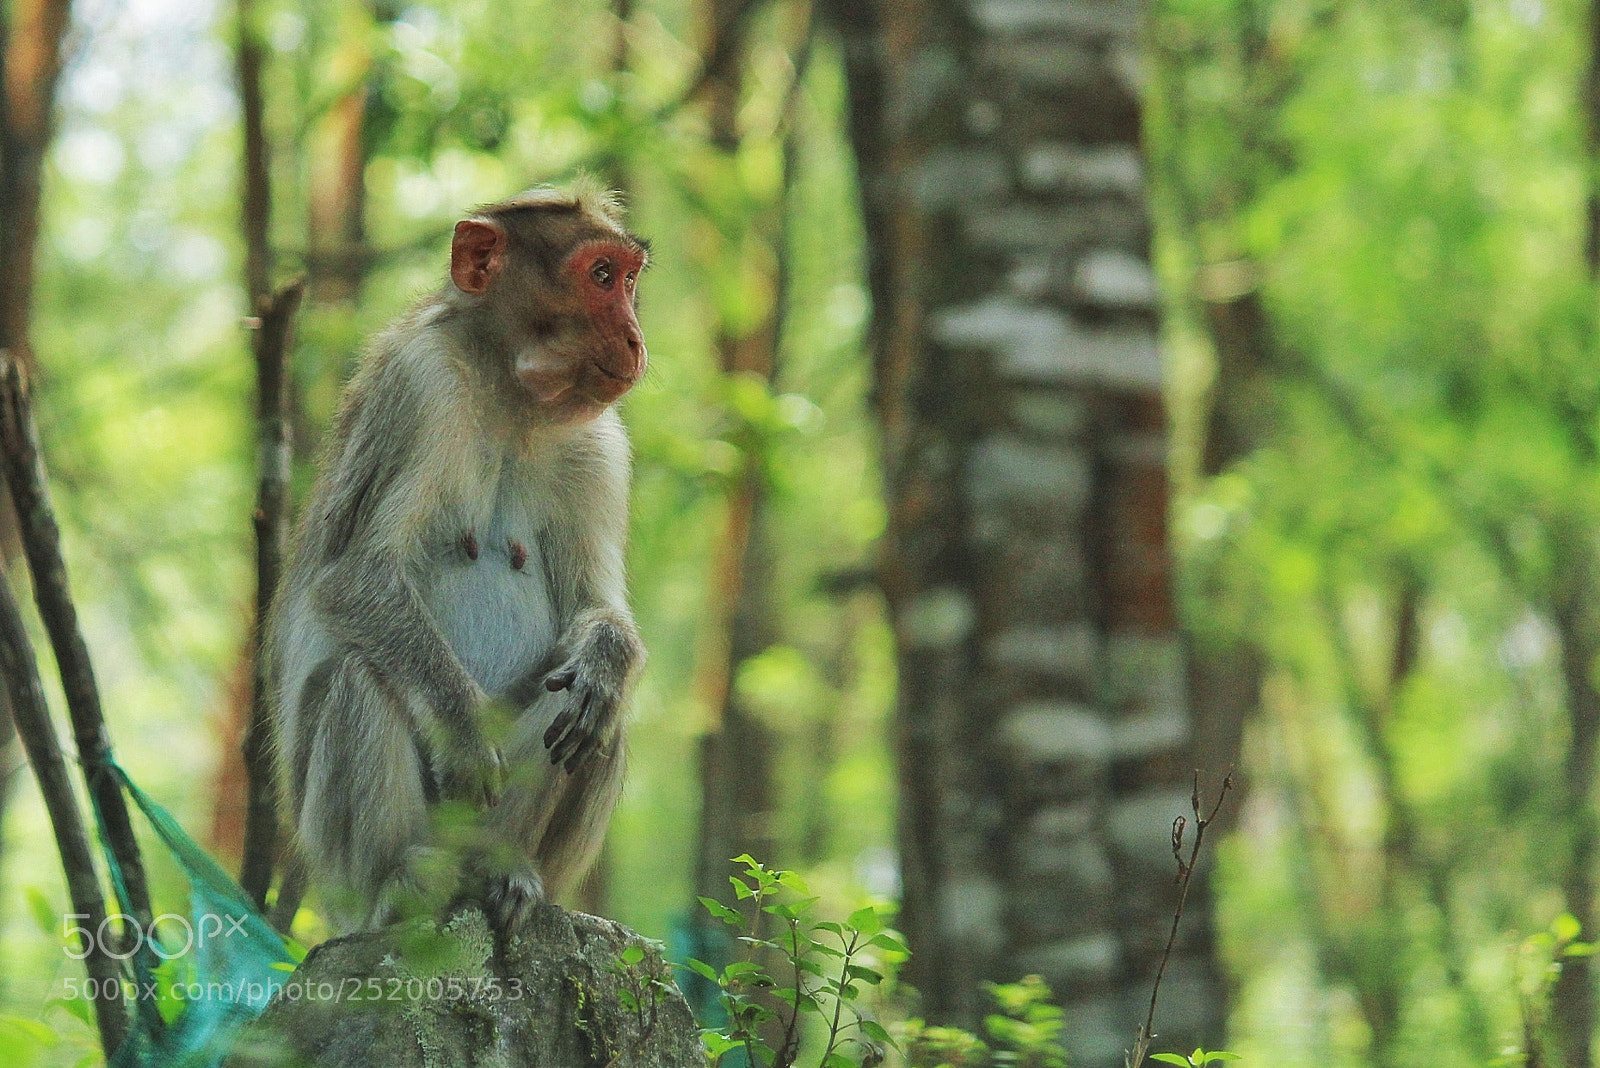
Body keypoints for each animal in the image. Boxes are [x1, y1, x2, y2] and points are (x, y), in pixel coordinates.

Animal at [267, 180, 648, 933]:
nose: (634, 337)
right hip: (336, 865)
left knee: (598, 721)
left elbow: (595, 610)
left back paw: (507, 870)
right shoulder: (423, 385)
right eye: (599, 276)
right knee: (359, 675)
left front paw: (605, 659)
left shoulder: (599, 446)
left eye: (627, 279)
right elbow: (357, 575)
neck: (513, 395)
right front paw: (467, 735)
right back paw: (401, 883)